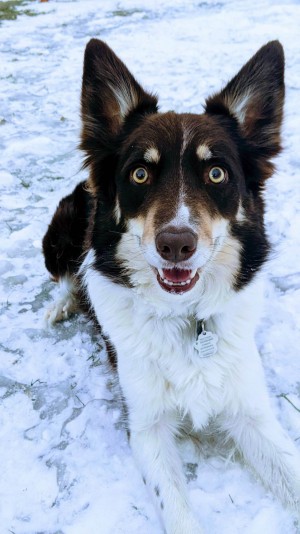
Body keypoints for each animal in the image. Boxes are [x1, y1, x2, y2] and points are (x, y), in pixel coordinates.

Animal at [42, 39, 300, 532]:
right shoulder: (146, 427)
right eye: (140, 174)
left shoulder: (252, 412)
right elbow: (176, 509)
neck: (186, 319)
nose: (176, 245)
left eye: (217, 173)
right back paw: (62, 305)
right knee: (68, 275)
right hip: (59, 232)